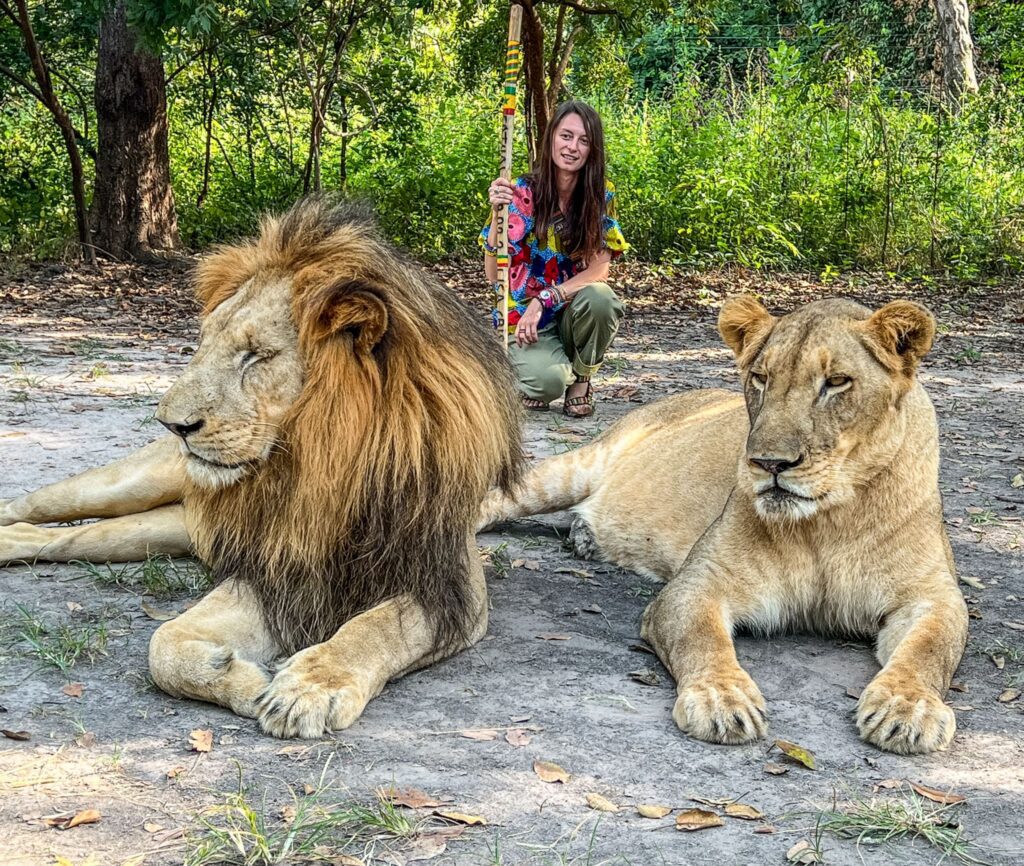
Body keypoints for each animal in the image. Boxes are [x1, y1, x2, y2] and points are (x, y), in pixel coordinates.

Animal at [2, 201, 520, 741]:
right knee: (31, 506)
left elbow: (372, 629)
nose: (171, 424)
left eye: (257, 355)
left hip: (164, 531)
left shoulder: (448, 584)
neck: (323, 473)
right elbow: (163, 643)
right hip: (127, 485)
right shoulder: (274, 573)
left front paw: (307, 687)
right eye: (202, 344)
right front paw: (246, 681)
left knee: (62, 538)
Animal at [479, 296, 966, 753]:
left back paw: (584, 538)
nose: (769, 463)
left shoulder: (933, 595)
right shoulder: (697, 583)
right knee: (493, 500)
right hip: (573, 468)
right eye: (761, 378)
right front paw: (721, 699)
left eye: (836, 382)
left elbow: (931, 647)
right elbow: (703, 639)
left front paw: (908, 709)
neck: (827, 521)